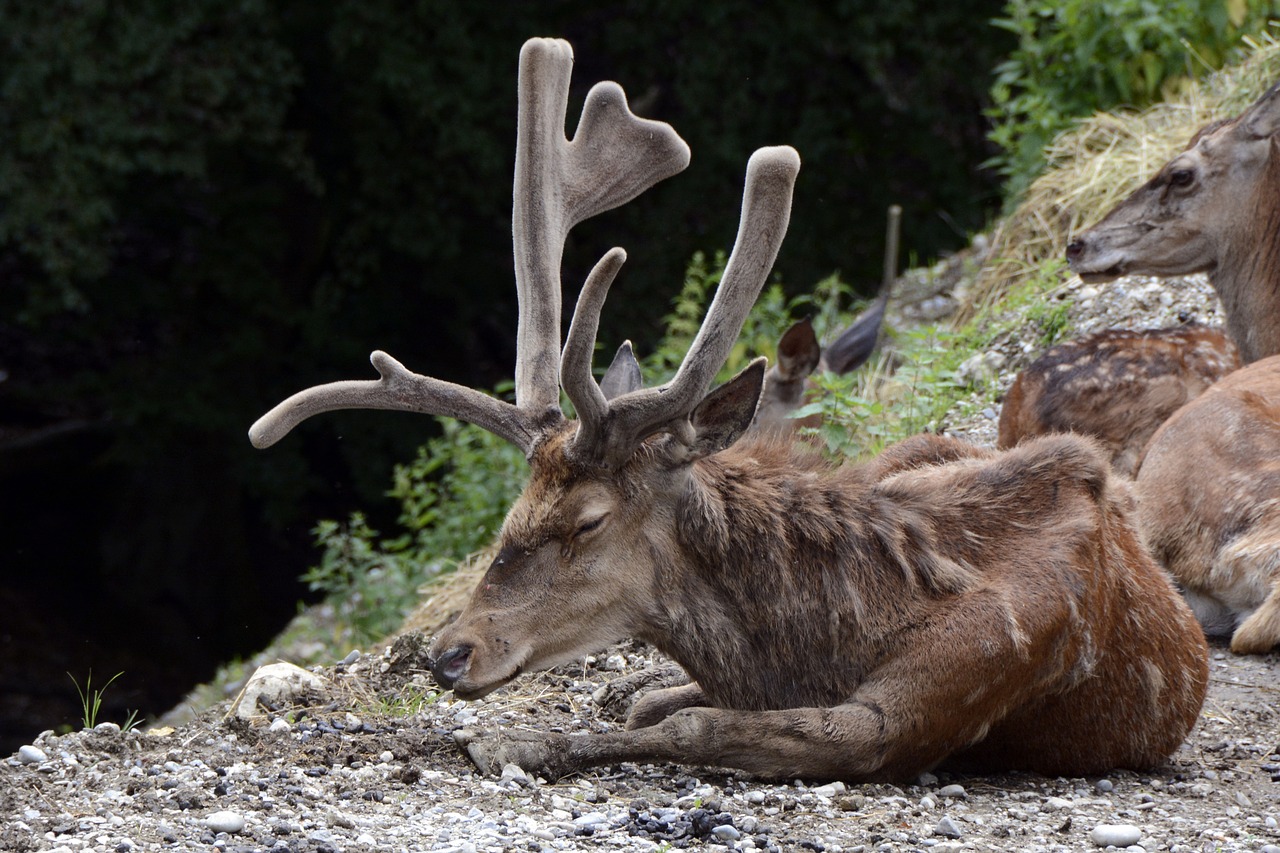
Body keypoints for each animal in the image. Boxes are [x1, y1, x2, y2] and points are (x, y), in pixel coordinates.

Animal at [249, 36, 1208, 778]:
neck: (827, 634)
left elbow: (695, 725)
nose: (450, 653)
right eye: (517, 509)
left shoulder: (929, 698)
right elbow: (662, 707)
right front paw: (623, 695)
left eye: (588, 519)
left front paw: (522, 742)